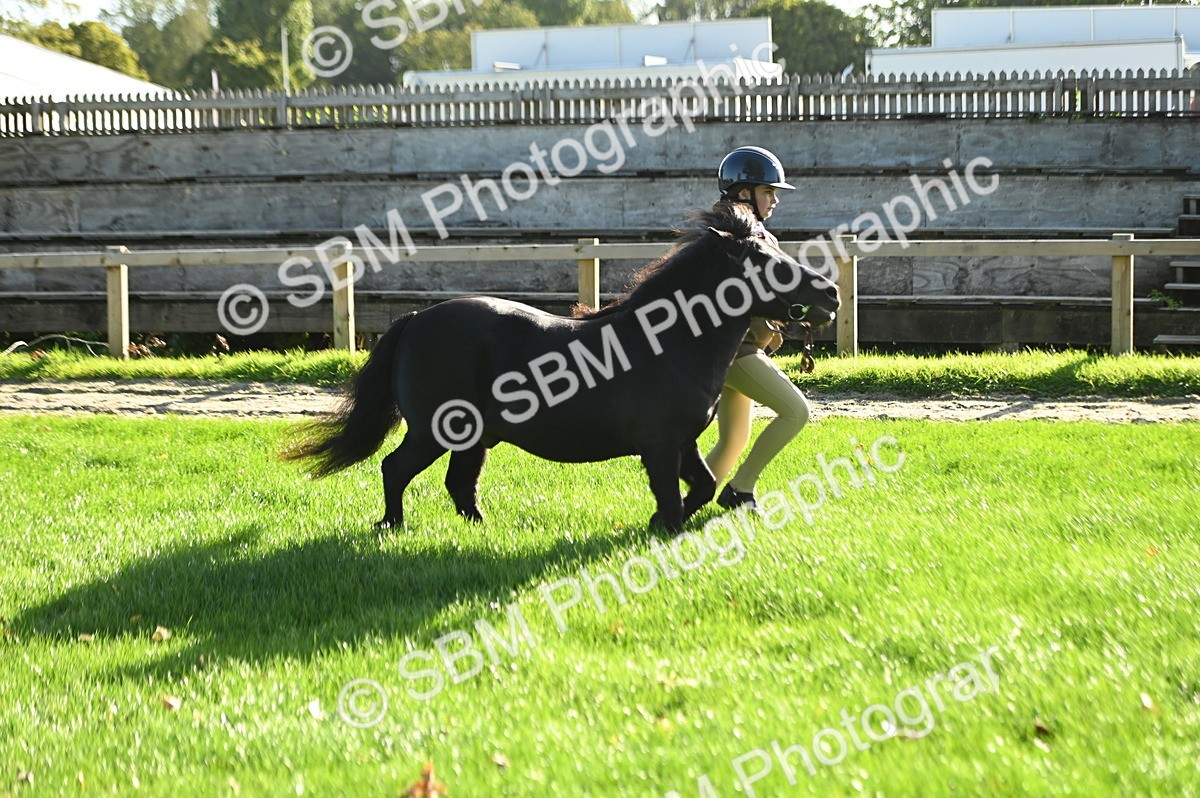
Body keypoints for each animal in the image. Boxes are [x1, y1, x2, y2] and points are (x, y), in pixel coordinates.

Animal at [283, 203, 840, 531]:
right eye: (771, 263)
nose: (832, 294)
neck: (669, 341)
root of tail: (417, 319)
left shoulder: (682, 442)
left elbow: (701, 487)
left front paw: (667, 521)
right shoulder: (659, 446)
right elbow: (671, 496)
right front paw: (663, 527)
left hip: (473, 437)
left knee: (459, 485)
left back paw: (482, 529)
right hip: (434, 431)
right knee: (395, 468)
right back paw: (393, 527)